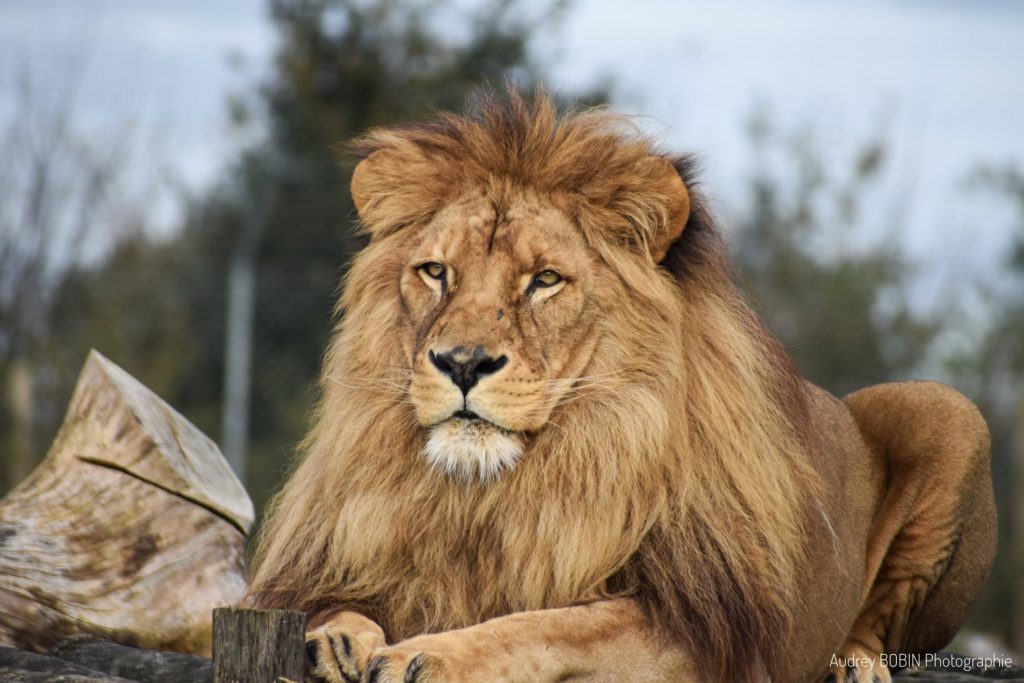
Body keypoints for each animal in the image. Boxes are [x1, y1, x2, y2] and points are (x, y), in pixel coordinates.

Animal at [243, 92, 995, 683]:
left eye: (545, 279)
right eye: (435, 271)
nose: (460, 362)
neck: (492, 497)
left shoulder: (699, 627)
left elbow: (549, 623)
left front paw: (424, 656)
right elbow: (325, 599)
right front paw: (338, 633)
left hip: (951, 412)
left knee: (882, 628)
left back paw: (855, 663)